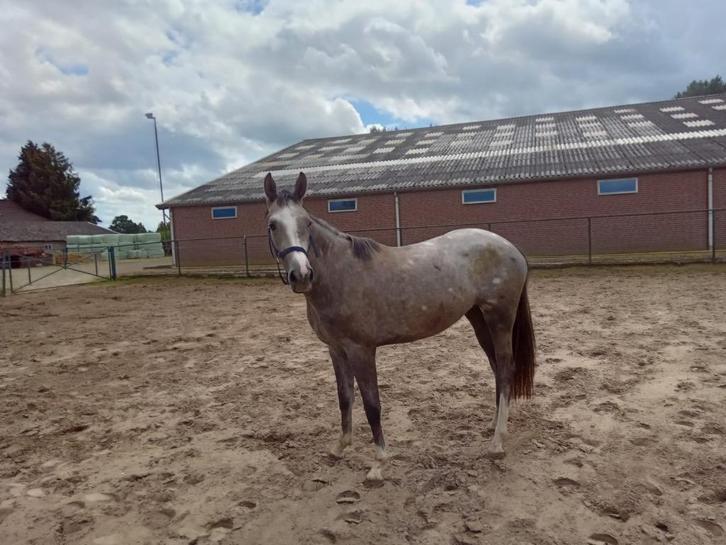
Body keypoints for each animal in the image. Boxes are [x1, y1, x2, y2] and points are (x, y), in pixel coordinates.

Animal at [264, 171, 535, 481]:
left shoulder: (361, 350)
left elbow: (372, 404)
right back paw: (493, 425)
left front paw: (378, 463)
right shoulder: (335, 349)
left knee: (505, 367)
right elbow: (345, 397)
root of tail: (510, 248)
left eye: (306, 222)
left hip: (499, 317)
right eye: (273, 224)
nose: (302, 275)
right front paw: (339, 448)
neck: (341, 274)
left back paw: (497, 442)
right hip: (479, 318)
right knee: (496, 367)